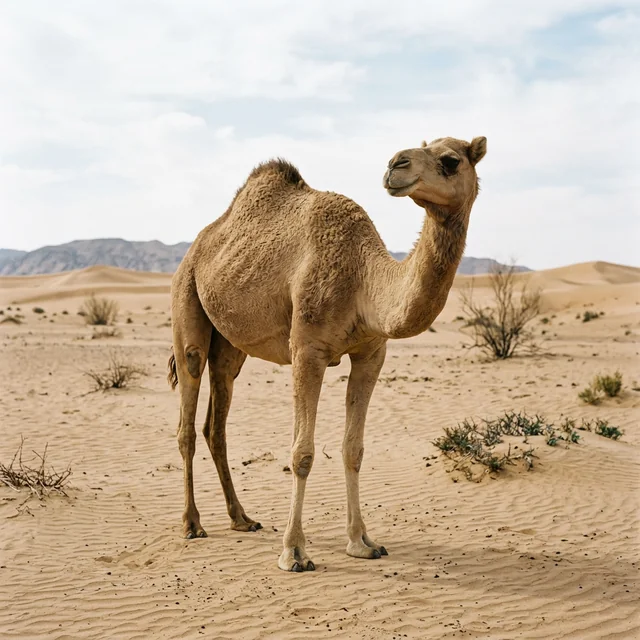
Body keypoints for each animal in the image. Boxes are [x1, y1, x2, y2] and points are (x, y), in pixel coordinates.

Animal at [168, 135, 487, 571]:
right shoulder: (307, 349)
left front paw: (362, 541)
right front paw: (294, 552)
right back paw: (191, 523)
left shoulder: (371, 354)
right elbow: (302, 452)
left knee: (216, 423)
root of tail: (198, 245)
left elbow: (354, 449)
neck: (363, 278)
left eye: (451, 160)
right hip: (186, 300)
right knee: (188, 405)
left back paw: (242, 518)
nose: (395, 164)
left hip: (230, 347)